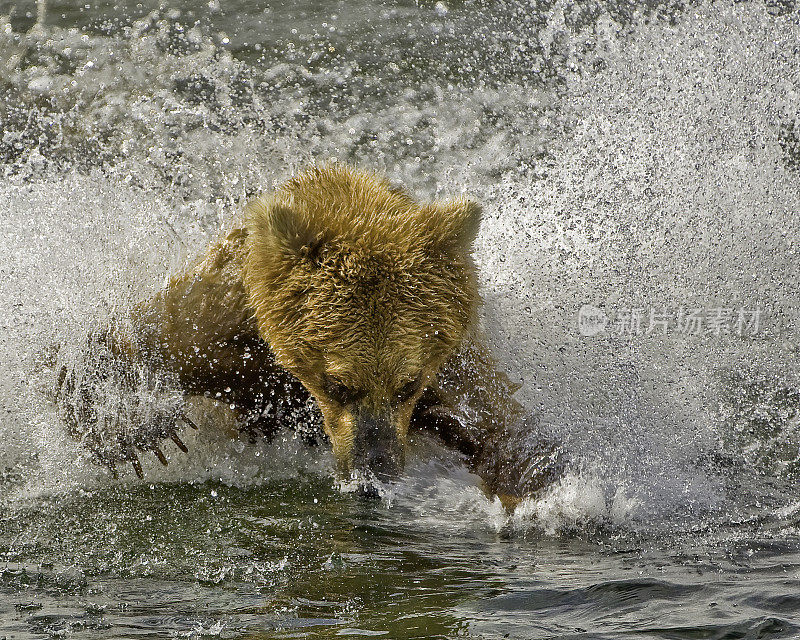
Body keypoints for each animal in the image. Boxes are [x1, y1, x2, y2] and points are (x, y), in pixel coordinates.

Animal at [56, 164, 564, 504]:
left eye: (408, 385)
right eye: (338, 383)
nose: (373, 469)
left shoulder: (450, 365)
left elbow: (499, 424)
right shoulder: (217, 325)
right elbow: (115, 344)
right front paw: (137, 424)